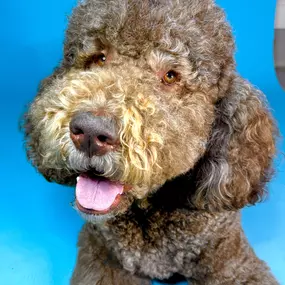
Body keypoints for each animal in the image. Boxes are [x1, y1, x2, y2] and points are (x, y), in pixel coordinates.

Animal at [23, 0, 278, 282]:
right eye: (99, 58)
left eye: (170, 76)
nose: (90, 132)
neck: (149, 213)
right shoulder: (102, 253)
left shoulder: (230, 259)